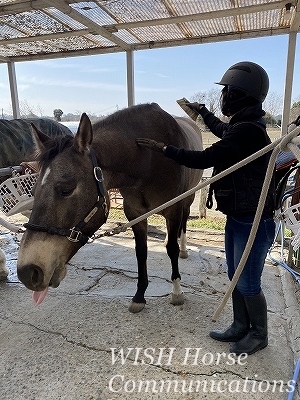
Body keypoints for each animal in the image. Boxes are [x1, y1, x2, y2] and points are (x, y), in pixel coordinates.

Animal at [17, 102, 204, 310]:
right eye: (33, 191)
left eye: (66, 189)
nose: (27, 272)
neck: (146, 160)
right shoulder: (135, 213)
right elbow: (141, 252)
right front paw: (139, 296)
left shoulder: (173, 209)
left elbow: (172, 249)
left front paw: (177, 291)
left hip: (188, 198)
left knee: (183, 225)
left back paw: (184, 249)